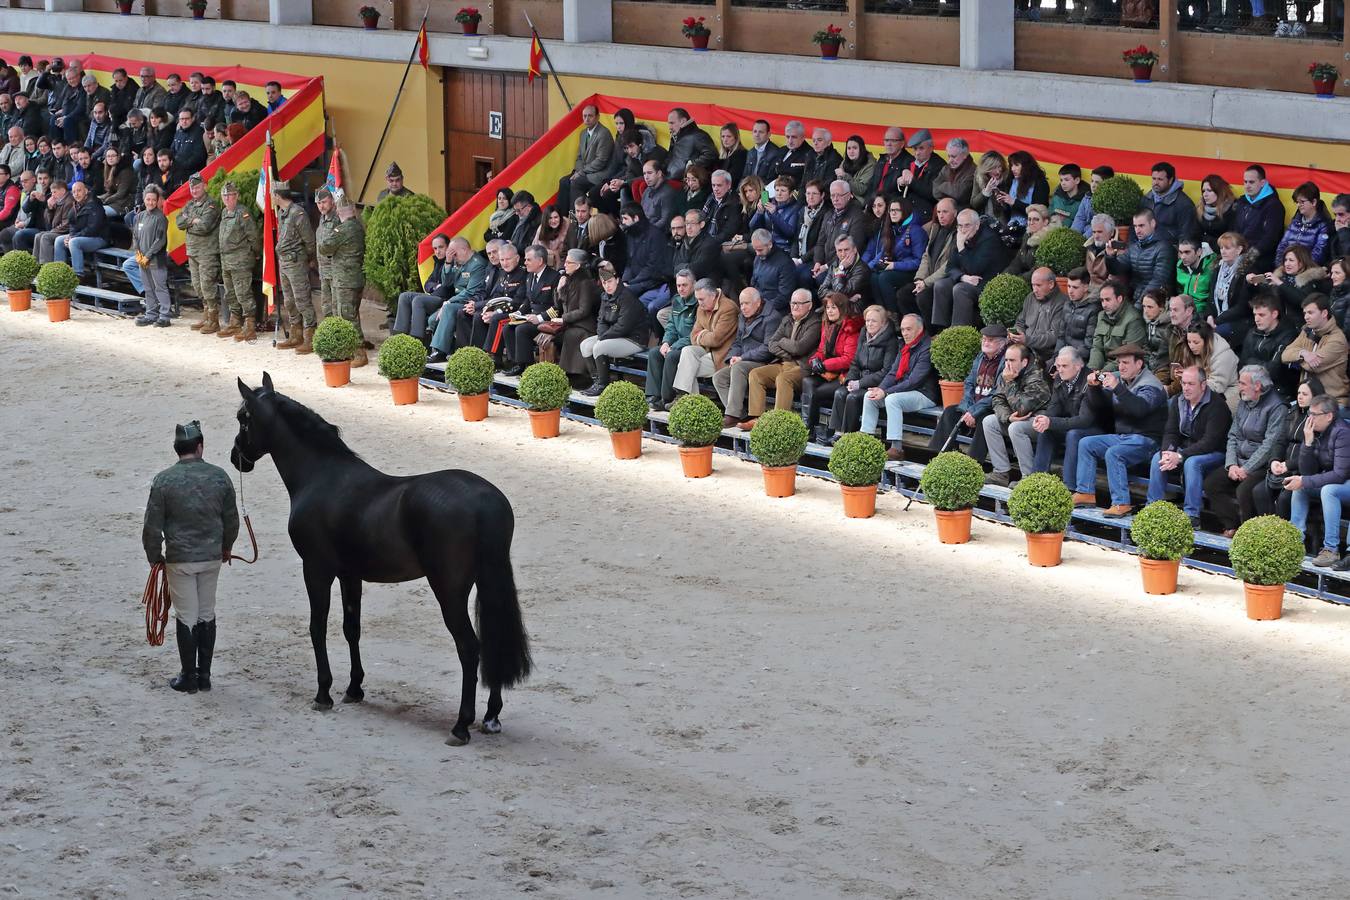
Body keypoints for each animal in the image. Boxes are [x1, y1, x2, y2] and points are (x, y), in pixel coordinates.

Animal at [229, 372, 529, 744]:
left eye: (243, 419)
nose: (235, 457)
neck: (321, 475)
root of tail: (485, 501)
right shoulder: (349, 574)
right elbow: (351, 628)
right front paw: (354, 689)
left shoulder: (316, 569)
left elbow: (317, 627)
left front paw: (323, 694)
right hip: (484, 584)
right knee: (491, 642)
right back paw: (490, 716)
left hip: (449, 591)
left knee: (469, 647)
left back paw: (461, 725)